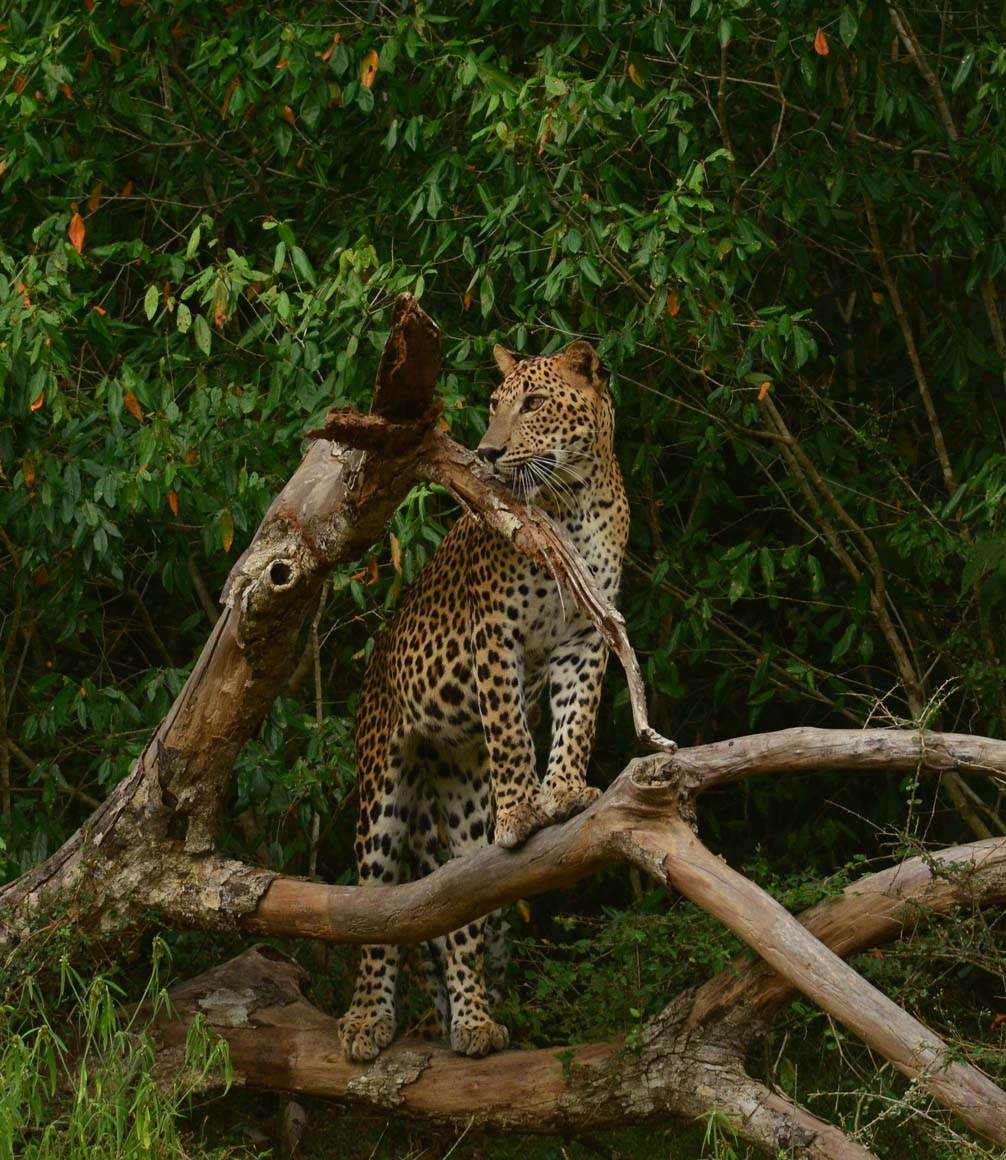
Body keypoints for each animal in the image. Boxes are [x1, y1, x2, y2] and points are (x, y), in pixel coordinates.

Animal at [338, 338, 630, 1063]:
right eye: (496, 404)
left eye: (534, 403)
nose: (489, 453)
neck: (576, 500)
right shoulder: (493, 630)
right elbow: (510, 729)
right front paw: (523, 806)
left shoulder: (588, 636)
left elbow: (577, 720)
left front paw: (564, 793)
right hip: (383, 788)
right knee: (375, 909)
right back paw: (366, 1020)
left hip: (461, 801)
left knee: (458, 915)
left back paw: (472, 1021)